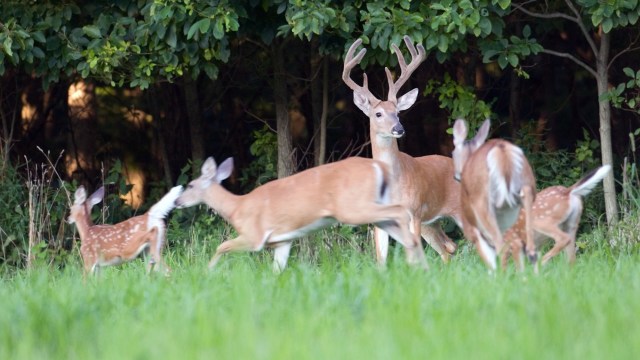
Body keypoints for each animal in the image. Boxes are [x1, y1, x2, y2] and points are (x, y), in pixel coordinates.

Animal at [174, 156, 424, 272]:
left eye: (191, 185)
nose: (177, 201)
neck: (237, 208)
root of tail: (379, 167)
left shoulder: (254, 236)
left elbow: (222, 245)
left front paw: (207, 271)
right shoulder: (282, 241)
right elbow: (276, 271)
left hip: (353, 208)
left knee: (402, 212)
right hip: (369, 209)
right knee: (400, 225)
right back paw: (420, 266)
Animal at [342, 37, 462, 264]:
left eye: (397, 112)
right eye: (378, 114)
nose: (399, 129)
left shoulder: (413, 212)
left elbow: (412, 258)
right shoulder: (382, 217)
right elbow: (381, 258)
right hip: (430, 222)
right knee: (448, 247)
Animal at [452, 119, 536, 272]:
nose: (457, 174)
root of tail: (501, 148)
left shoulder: (474, 232)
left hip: (483, 204)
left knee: (503, 247)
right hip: (527, 189)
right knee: (528, 247)